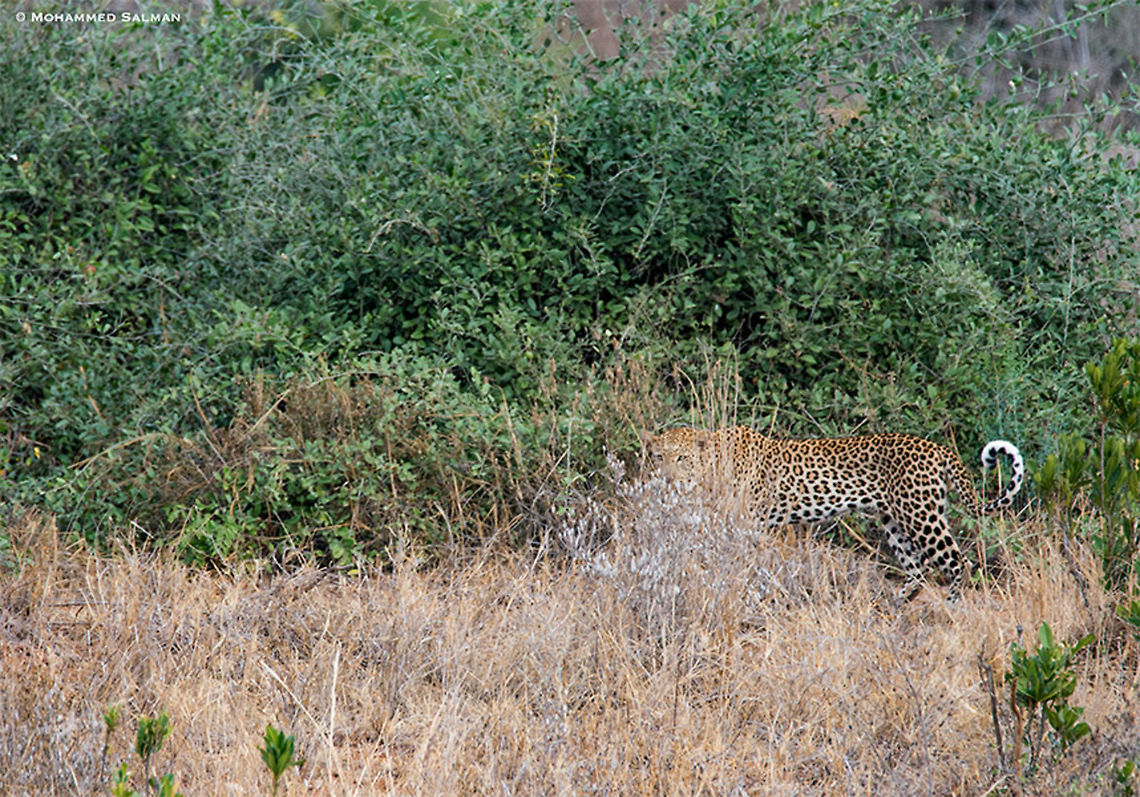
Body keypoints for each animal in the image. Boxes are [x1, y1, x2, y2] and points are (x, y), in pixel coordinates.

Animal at [643, 426, 1024, 601]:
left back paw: (952, 603)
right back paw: (897, 602)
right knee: (919, 567)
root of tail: (936, 448)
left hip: (920, 514)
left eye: (681, 458)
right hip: (894, 520)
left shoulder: (748, 524)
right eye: (658, 457)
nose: (667, 478)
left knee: (959, 560)